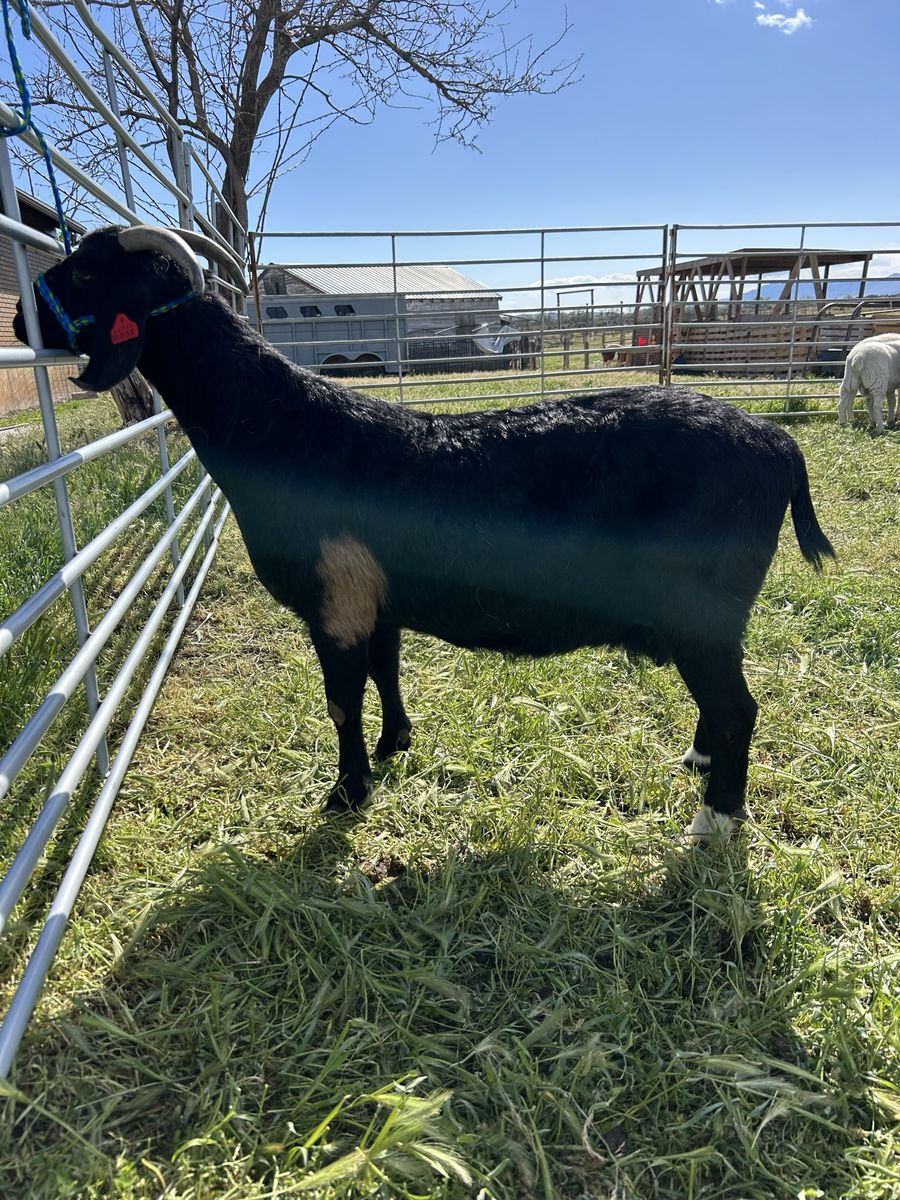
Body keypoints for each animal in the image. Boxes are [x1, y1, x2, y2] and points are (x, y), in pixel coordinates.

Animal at [15, 226, 836, 839]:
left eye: (85, 271)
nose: (22, 320)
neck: (285, 431)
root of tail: (777, 443)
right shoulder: (373, 602)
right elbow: (387, 672)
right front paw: (394, 747)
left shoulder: (335, 604)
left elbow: (341, 700)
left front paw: (346, 792)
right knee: (721, 706)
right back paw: (699, 765)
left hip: (705, 607)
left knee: (739, 708)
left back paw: (715, 821)